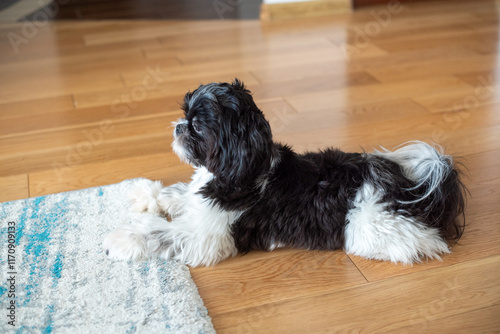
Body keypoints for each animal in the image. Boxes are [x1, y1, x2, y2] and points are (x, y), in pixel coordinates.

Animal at [103, 78, 466, 266]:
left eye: (196, 126)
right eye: (184, 115)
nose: (179, 126)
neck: (239, 171)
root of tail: (407, 184)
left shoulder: (207, 236)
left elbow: (162, 233)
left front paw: (123, 236)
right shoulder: (197, 199)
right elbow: (177, 193)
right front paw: (142, 193)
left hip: (370, 226)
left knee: (423, 242)